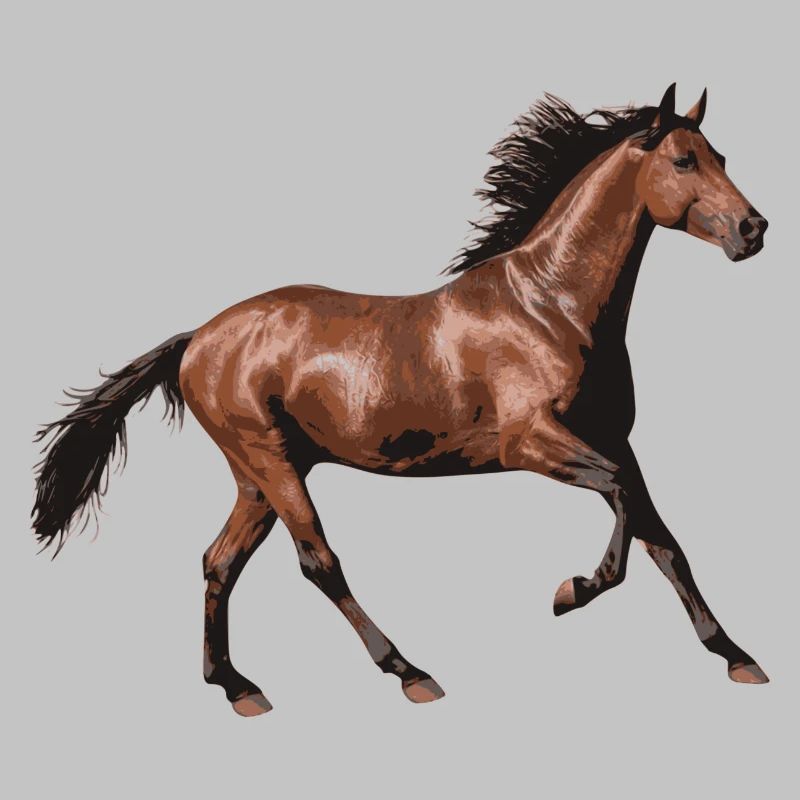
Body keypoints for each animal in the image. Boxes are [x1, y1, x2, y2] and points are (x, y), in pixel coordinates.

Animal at [32, 84, 770, 717]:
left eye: (722, 157)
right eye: (683, 159)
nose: (753, 229)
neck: (550, 307)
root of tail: (197, 339)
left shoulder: (615, 439)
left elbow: (663, 538)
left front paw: (737, 657)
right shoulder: (532, 443)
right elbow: (619, 501)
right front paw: (571, 592)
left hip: (257, 476)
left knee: (220, 561)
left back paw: (237, 687)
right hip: (271, 462)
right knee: (318, 562)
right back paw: (410, 672)